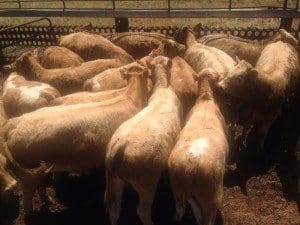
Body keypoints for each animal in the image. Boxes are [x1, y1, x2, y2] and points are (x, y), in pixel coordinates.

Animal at [1, 61, 149, 213]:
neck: (130, 99)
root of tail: (13, 123)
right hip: (28, 171)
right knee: (28, 193)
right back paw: (31, 210)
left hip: (36, 169)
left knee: (39, 185)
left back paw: (47, 201)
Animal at [104, 55, 182, 225]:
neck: (162, 87)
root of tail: (118, 148)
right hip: (146, 182)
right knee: (142, 210)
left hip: (115, 180)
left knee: (114, 208)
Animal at [168, 70, 229, 225]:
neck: (205, 98)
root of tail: (191, 166)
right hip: (211, 196)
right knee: (207, 219)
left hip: (177, 188)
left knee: (179, 209)